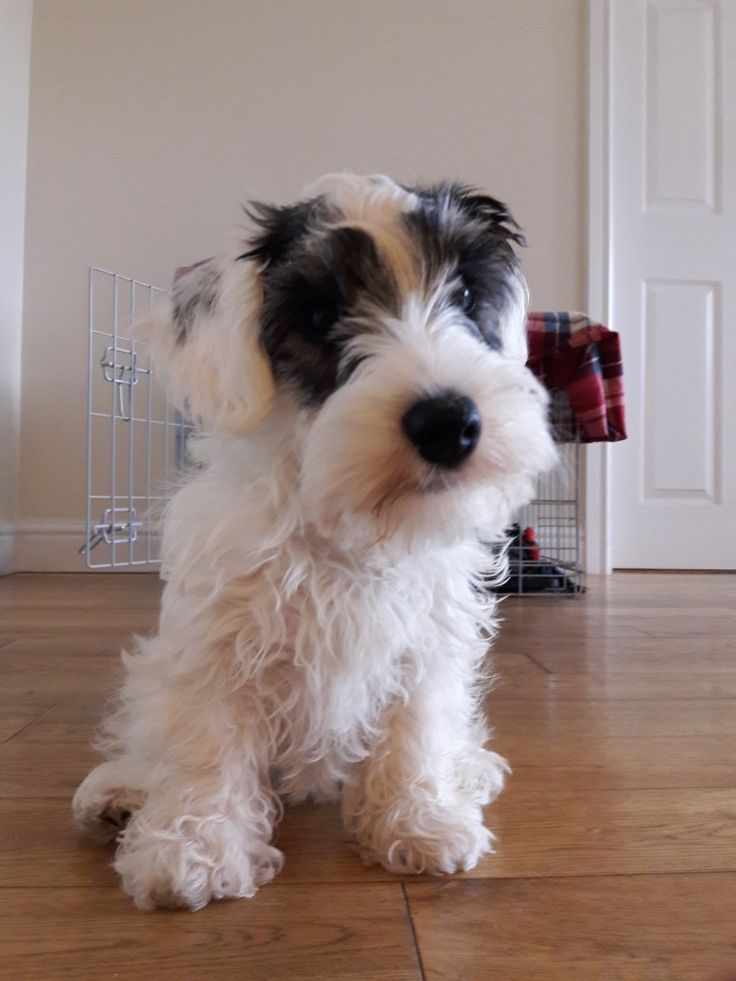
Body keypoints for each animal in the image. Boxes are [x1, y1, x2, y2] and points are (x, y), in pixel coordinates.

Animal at [76, 170, 556, 912]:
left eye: (466, 297)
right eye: (321, 318)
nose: (448, 422)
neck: (342, 523)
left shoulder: (426, 636)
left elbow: (416, 727)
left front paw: (416, 821)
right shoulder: (217, 634)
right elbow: (203, 739)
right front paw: (192, 848)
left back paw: (469, 768)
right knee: (149, 725)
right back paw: (121, 788)